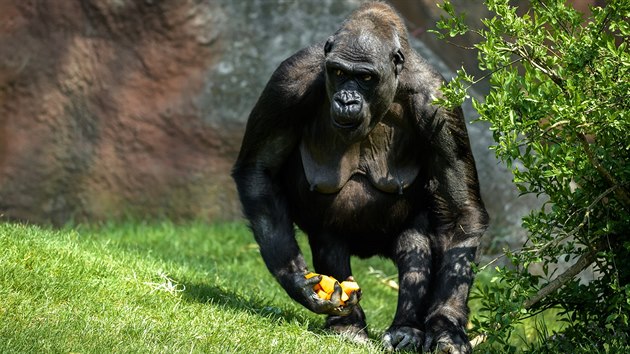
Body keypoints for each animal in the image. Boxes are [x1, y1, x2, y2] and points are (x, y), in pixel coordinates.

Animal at [231, 1, 488, 352]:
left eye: (365, 77)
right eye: (339, 73)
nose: (346, 99)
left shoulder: (438, 105)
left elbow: (461, 212)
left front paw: (447, 326)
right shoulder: (288, 82)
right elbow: (260, 169)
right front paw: (296, 281)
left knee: (415, 244)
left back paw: (406, 329)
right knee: (330, 239)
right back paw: (348, 325)